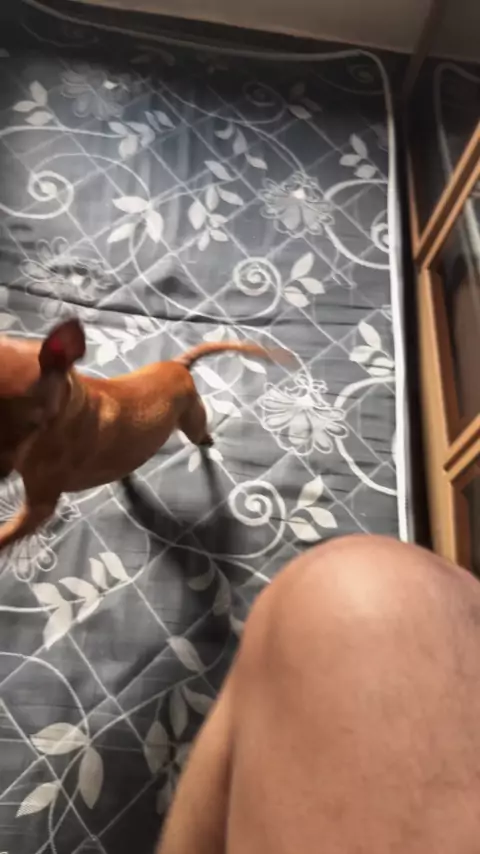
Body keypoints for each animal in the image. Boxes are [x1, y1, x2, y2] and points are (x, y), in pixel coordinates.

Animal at [0, 318, 286, 551]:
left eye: (30, 425)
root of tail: (176, 365)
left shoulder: (39, 507)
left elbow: (4, 536)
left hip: (193, 423)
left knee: (199, 435)